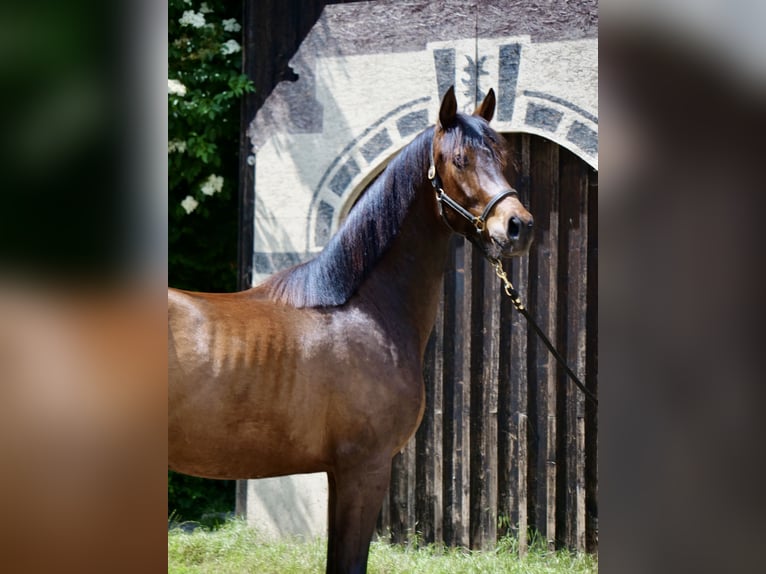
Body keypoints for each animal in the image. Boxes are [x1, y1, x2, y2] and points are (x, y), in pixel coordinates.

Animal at [170, 86, 536, 574]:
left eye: (504, 156)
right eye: (459, 160)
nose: (518, 227)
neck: (365, 309)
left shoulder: (340, 473)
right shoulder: (365, 469)